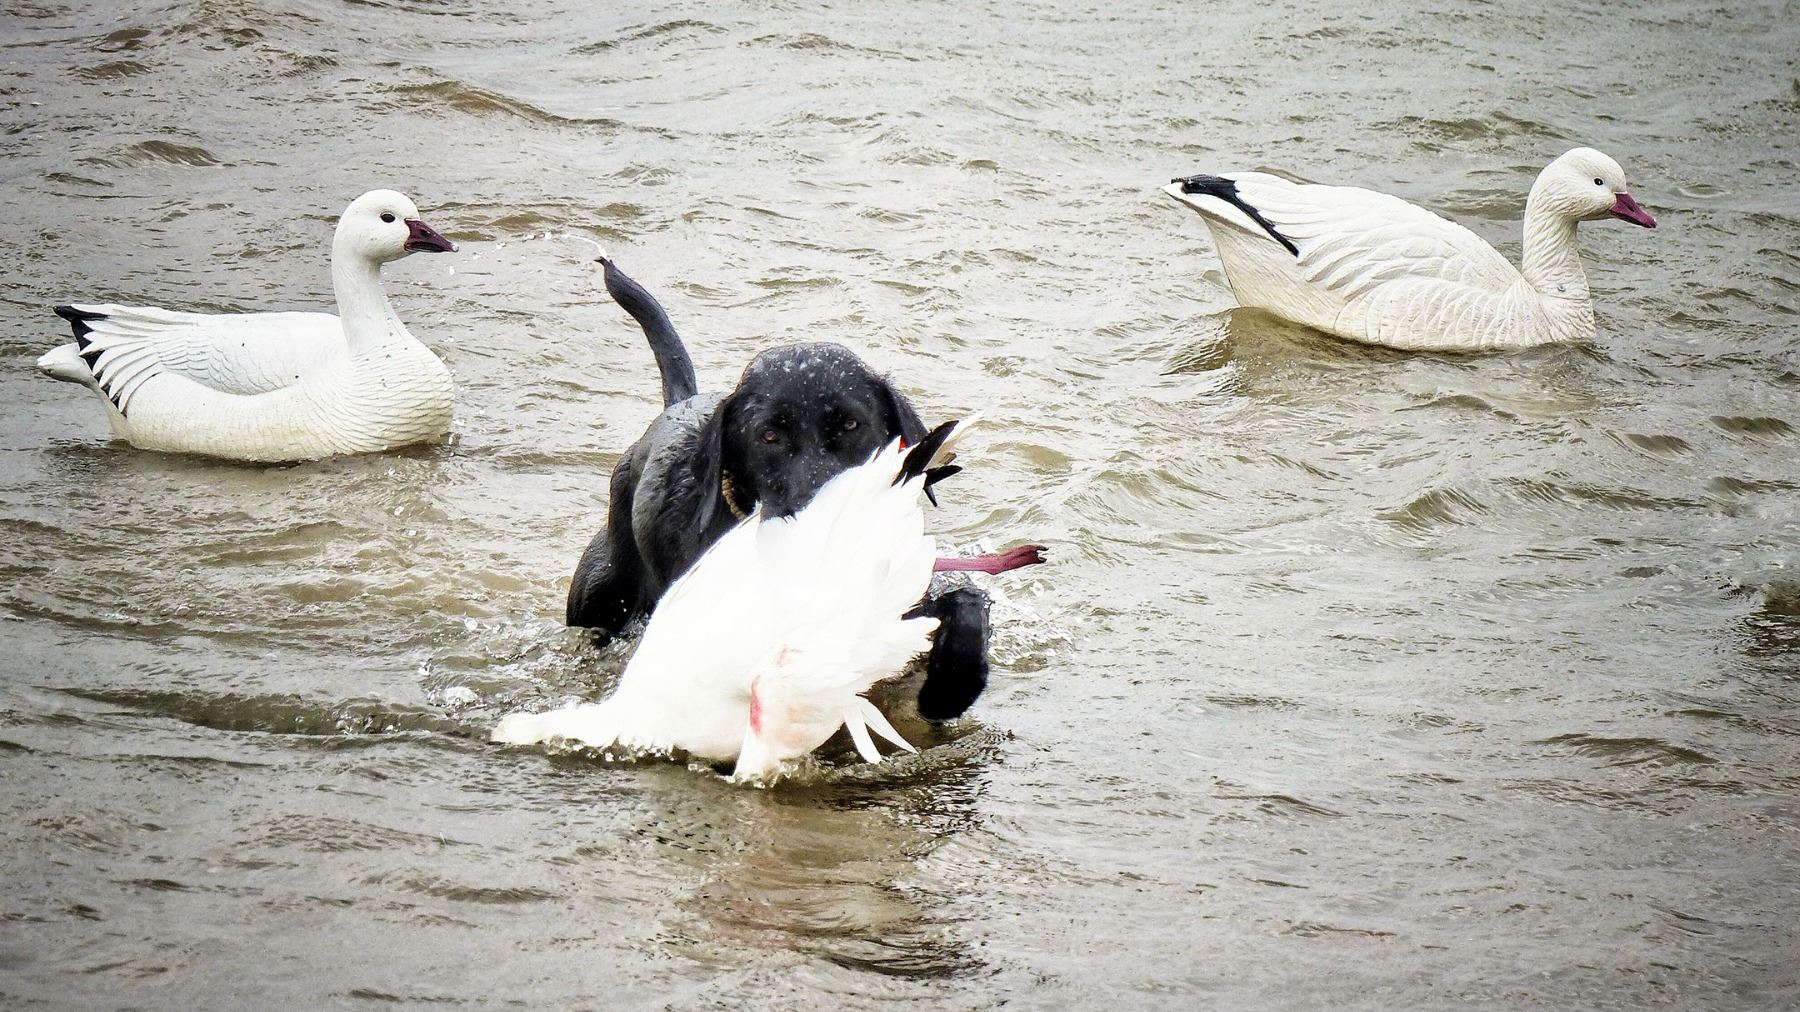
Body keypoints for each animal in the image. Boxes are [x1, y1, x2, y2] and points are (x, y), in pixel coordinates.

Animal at [566, 256, 1018, 720]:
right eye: (768, 436)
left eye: (851, 424)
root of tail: (679, 404)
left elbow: (966, 605)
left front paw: (948, 686)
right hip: (600, 595)